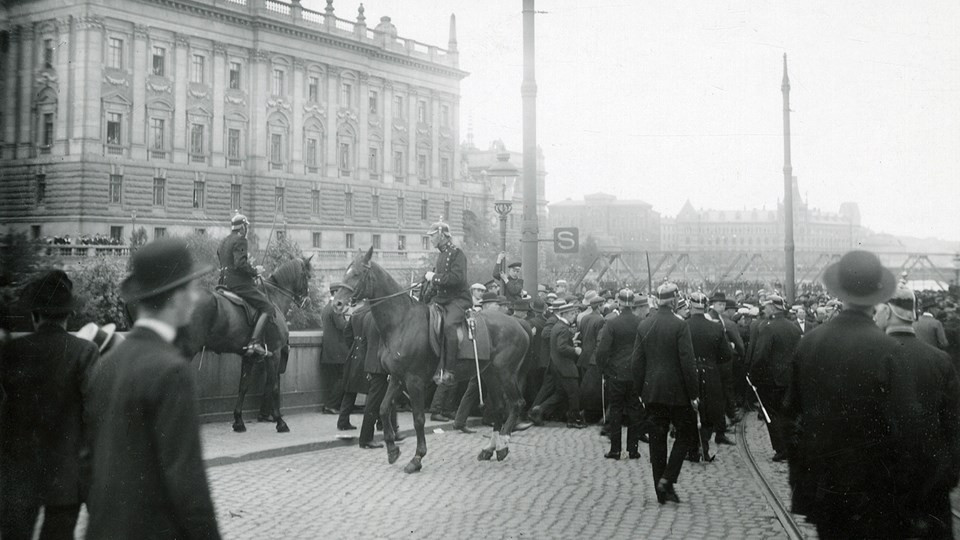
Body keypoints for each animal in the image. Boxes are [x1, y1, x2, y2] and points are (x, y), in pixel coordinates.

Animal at [176, 255, 312, 432]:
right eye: (308, 276)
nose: (307, 302)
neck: (273, 298)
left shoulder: (249, 356)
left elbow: (243, 386)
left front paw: (238, 420)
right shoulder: (274, 353)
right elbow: (273, 386)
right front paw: (280, 422)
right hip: (186, 350)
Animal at [336, 248, 532, 472]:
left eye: (357, 274)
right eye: (346, 272)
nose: (337, 303)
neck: (402, 322)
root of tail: (518, 323)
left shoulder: (414, 380)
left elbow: (418, 419)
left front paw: (417, 458)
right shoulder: (396, 377)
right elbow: (384, 409)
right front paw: (392, 450)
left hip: (505, 373)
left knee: (516, 403)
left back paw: (504, 444)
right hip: (489, 374)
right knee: (500, 408)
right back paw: (491, 448)